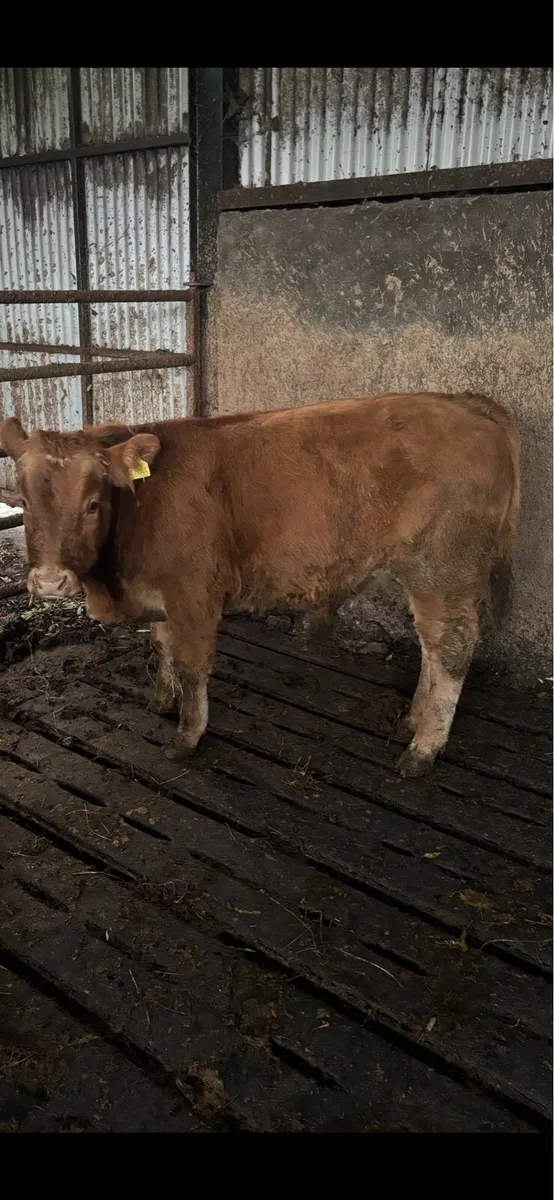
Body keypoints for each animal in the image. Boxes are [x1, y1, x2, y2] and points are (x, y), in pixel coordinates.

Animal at [0, 392, 520, 778]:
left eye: (92, 503)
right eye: (21, 502)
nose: (50, 581)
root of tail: (466, 402)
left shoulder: (194, 593)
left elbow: (192, 666)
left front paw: (186, 735)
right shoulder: (163, 594)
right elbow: (161, 646)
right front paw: (162, 700)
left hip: (444, 571)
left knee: (451, 650)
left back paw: (423, 748)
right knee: (433, 648)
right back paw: (413, 719)